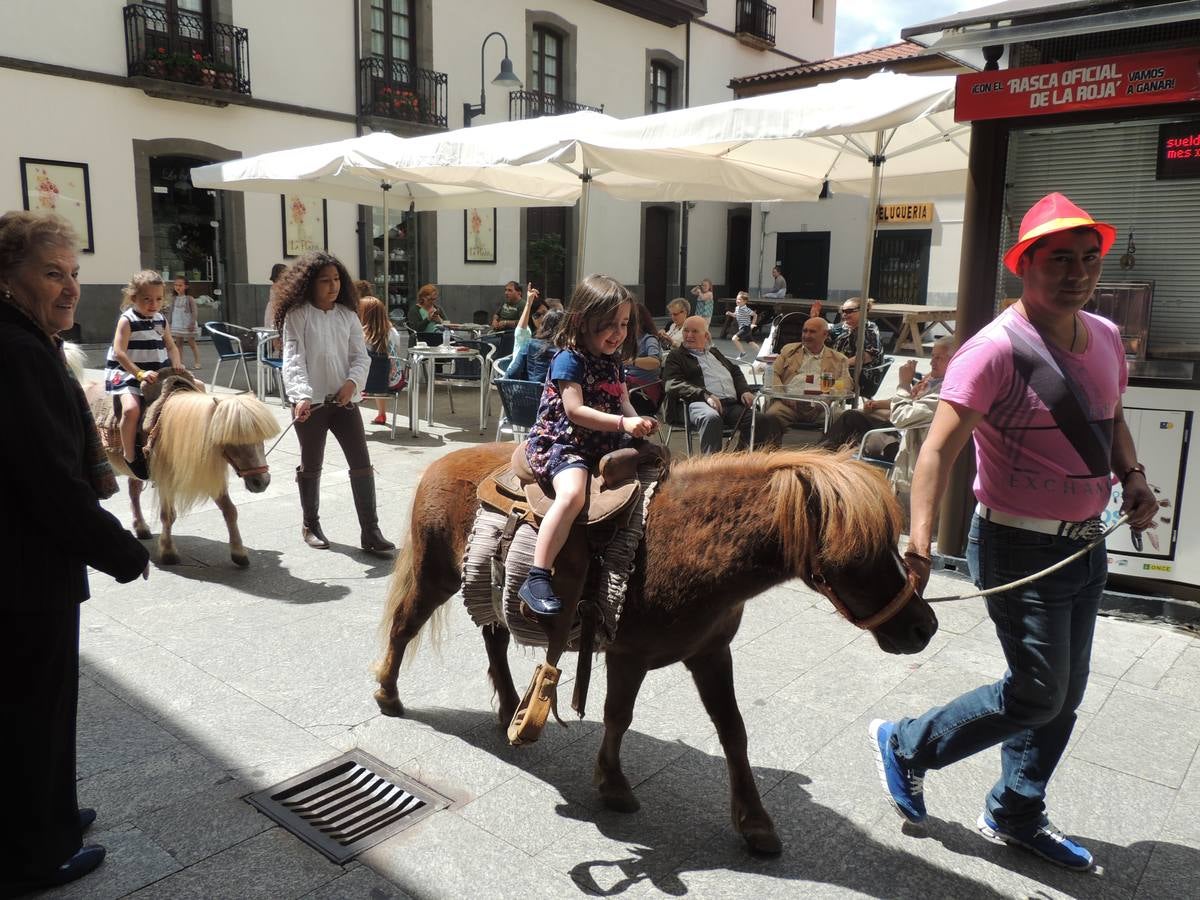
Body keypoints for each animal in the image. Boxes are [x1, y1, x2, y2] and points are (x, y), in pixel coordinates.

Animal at [374, 448, 936, 854]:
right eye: (858, 553)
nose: (923, 627)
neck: (685, 543)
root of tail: (442, 461)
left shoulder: (712, 654)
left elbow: (734, 732)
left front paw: (754, 821)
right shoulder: (629, 657)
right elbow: (617, 716)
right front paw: (613, 784)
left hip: (486, 588)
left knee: (493, 638)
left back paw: (511, 708)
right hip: (437, 577)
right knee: (403, 627)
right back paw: (387, 694)